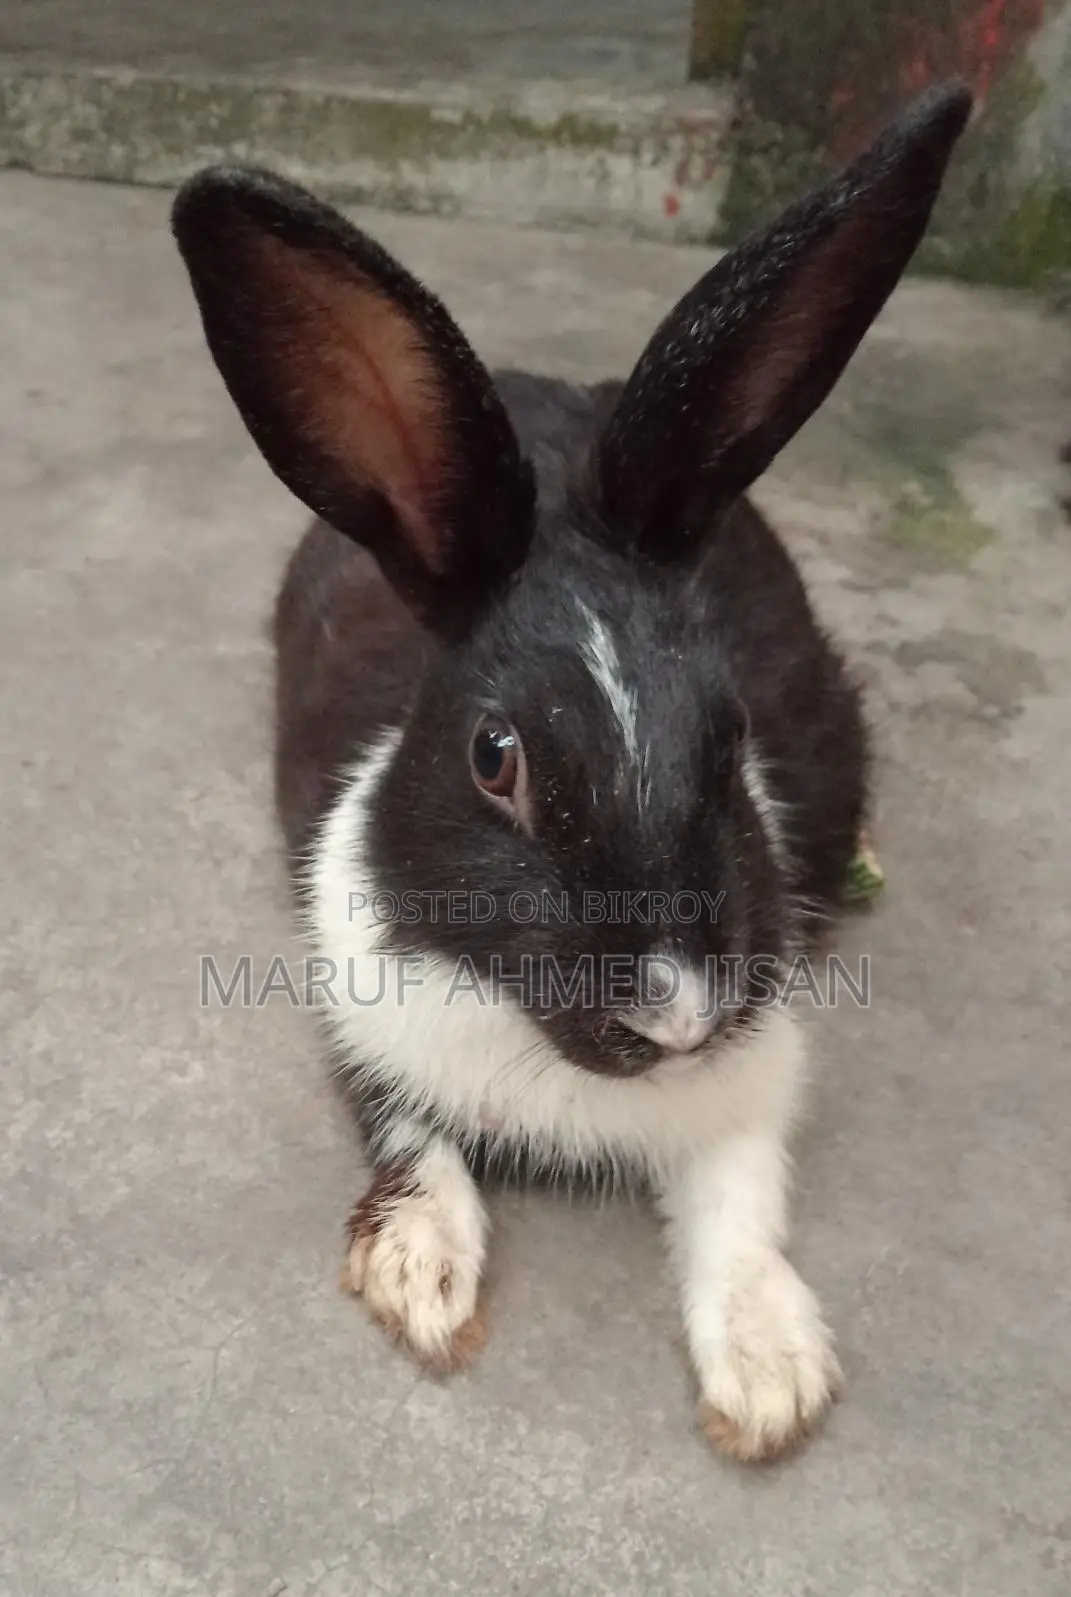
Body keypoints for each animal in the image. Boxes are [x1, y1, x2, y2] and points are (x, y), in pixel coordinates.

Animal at [172, 80, 972, 1463]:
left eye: (729, 730)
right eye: (495, 760)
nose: (676, 1014)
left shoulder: (755, 1081)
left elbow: (740, 1203)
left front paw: (769, 1376)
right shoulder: (359, 1013)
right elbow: (413, 1135)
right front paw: (421, 1276)